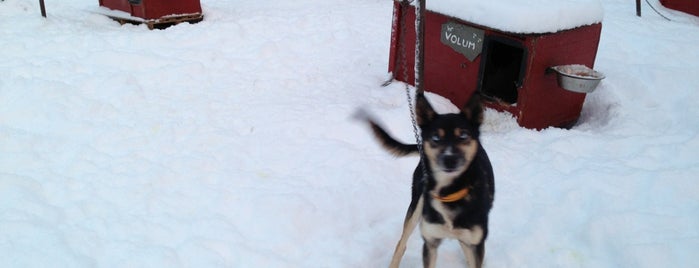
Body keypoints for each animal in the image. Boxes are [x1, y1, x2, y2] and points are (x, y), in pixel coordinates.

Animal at [358, 92, 494, 268]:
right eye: (436, 137)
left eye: (463, 135)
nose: (449, 159)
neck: (450, 192)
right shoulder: (430, 242)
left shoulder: (475, 243)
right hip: (416, 206)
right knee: (401, 244)